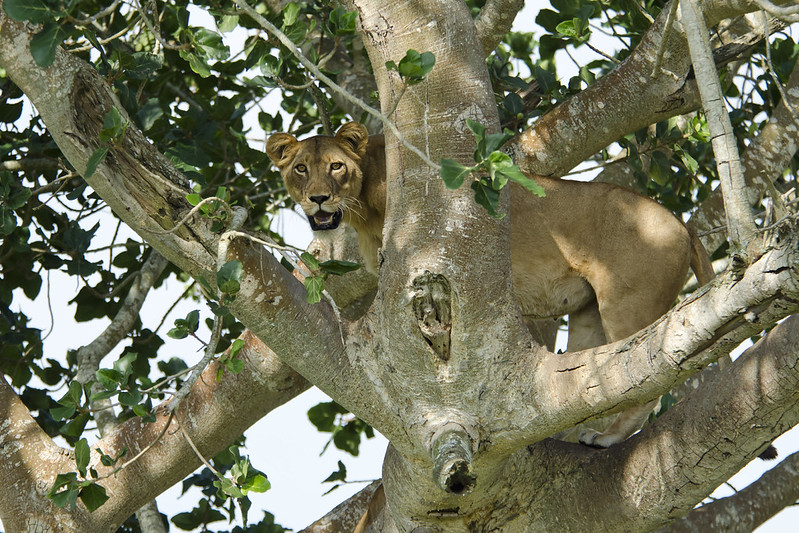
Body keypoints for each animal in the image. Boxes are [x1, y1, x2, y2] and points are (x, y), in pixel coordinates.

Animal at [265, 122, 715, 448]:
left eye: (336, 167)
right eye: (301, 169)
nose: (318, 199)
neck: (362, 207)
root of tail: (683, 224)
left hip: (627, 305)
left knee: (644, 377)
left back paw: (607, 438)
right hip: (589, 315)